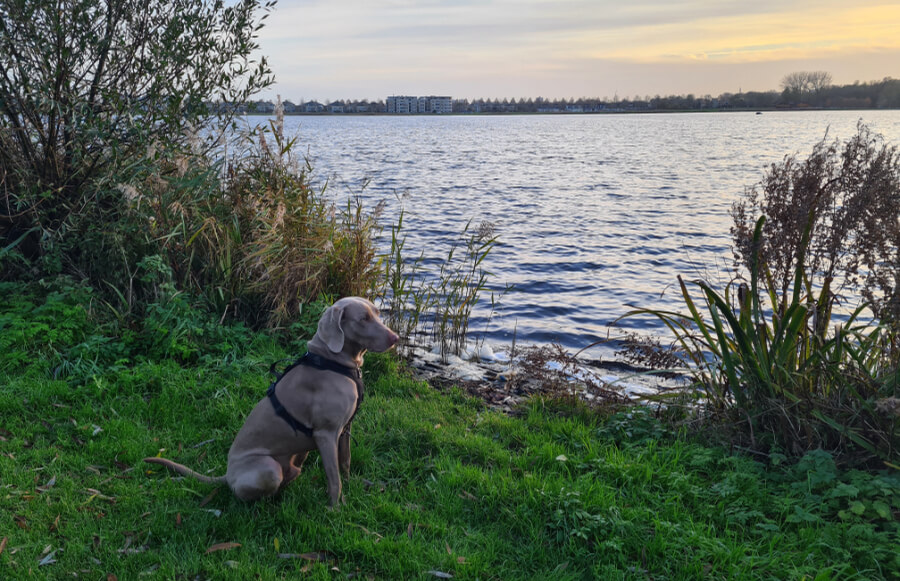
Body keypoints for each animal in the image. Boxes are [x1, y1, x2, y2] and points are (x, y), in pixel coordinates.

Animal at [144, 296, 398, 506]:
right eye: (363, 319)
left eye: (378, 313)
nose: (395, 338)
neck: (332, 361)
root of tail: (227, 474)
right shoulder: (326, 434)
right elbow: (334, 477)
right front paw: (335, 508)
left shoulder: (345, 428)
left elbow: (345, 462)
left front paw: (353, 487)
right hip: (268, 468)